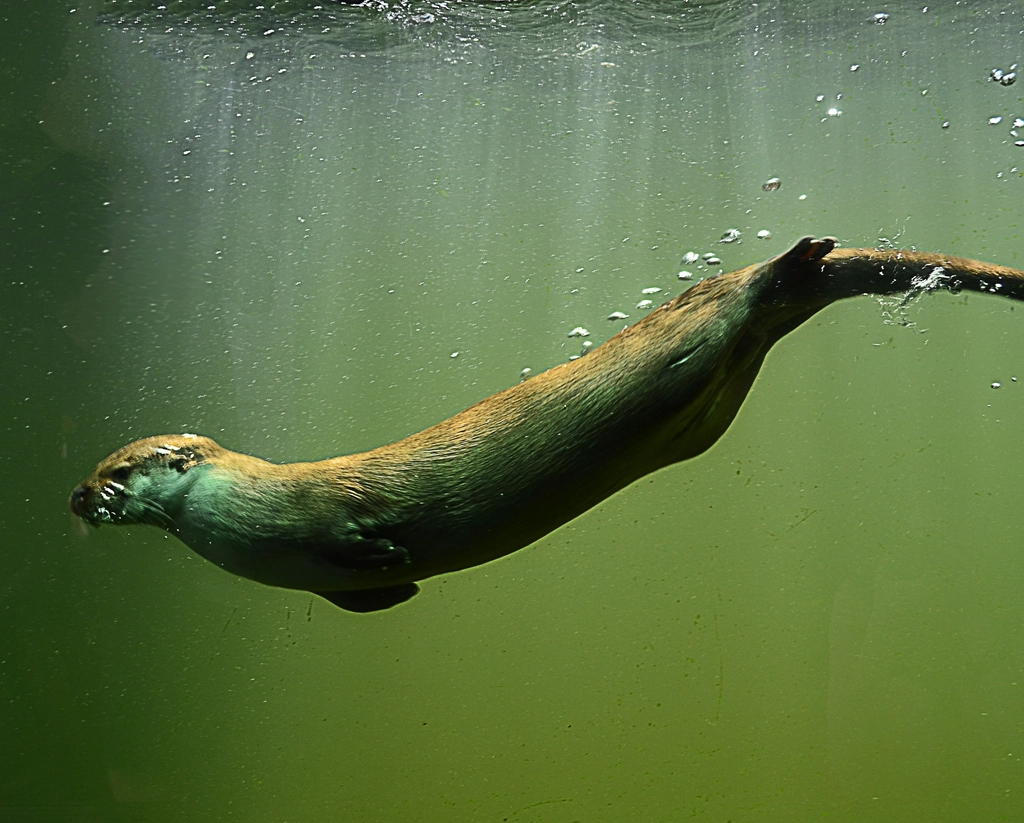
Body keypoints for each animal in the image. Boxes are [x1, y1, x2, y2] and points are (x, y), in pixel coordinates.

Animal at [69, 236, 1024, 612]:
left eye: (118, 470)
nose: (76, 496)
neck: (246, 516)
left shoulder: (325, 507)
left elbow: (363, 531)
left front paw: (389, 550)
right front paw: (395, 584)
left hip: (690, 329)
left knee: (745, 291)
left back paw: (795, 256)